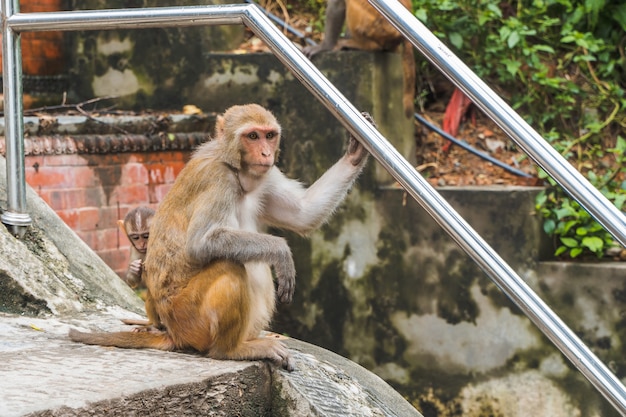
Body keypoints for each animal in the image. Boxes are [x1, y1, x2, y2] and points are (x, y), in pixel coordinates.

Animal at [69, 102, 370, 368]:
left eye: (269, 135)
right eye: (252, 136)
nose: (265, 154)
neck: (235, 167)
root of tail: (172, 332)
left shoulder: (266, 177)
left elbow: (303, 214)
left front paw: (356, 152)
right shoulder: (217, 180)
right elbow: (201, 243)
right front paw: (282, 252)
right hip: (190, 318)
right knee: (230, 265)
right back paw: (232, 350)